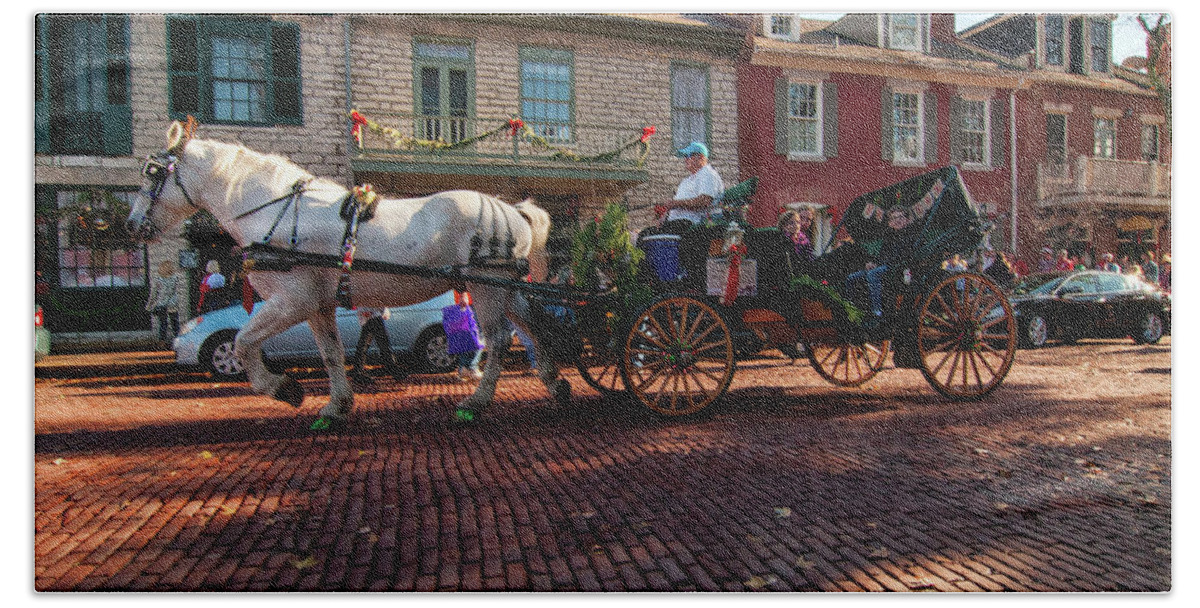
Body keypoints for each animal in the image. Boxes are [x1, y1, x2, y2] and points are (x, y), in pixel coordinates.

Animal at [130, 121, 561, 429]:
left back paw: (477, 402)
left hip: (484, 287)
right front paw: (337, 404)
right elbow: (331, 353)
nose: (133, 225)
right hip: (503, 288)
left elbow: (242, 341)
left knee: (500, 340)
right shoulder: (317, 305)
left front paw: (284, 389)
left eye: (153, 173)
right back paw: (556, 382)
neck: (274, 212)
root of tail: (513, 210)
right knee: (533, 325)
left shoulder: (292, 300)